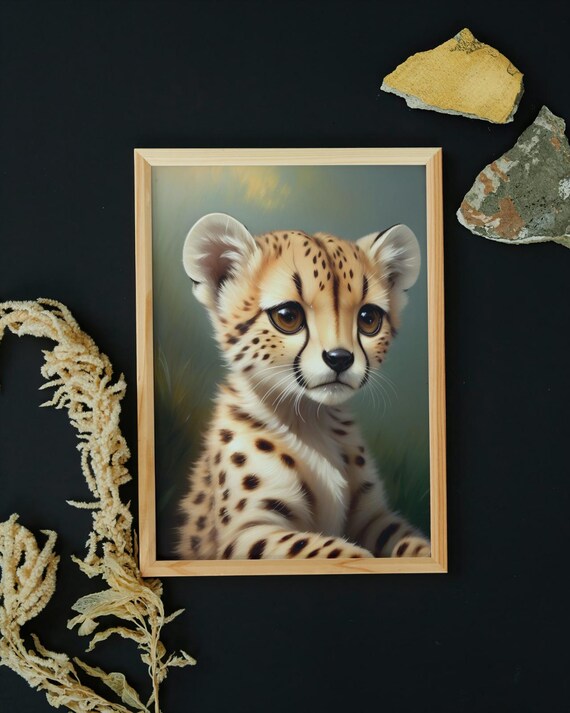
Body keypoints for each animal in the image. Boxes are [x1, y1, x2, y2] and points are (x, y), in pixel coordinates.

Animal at [176, 212, 430, 561]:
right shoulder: (244, 534)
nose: (340, 359)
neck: (310, 418)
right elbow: (326, 550)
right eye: (288, 316)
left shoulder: (374, 517)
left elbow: (411, 542)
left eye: (368, 318)